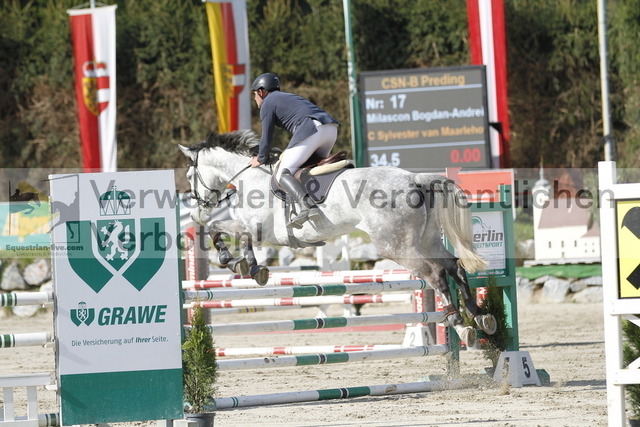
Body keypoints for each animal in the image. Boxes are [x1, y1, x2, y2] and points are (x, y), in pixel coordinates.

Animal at [179, 130, 496, 346]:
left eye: (190, 175)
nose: (196, 211)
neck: (250, 176)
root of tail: (416, 179)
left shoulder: (257, 228)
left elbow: (223, 230)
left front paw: (238, 263)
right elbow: (231, 235)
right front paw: (250, 266)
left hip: (396, 246)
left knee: (435, 274)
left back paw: (460, 324)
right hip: (427, 240)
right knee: (454, 265)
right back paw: (480, 316)